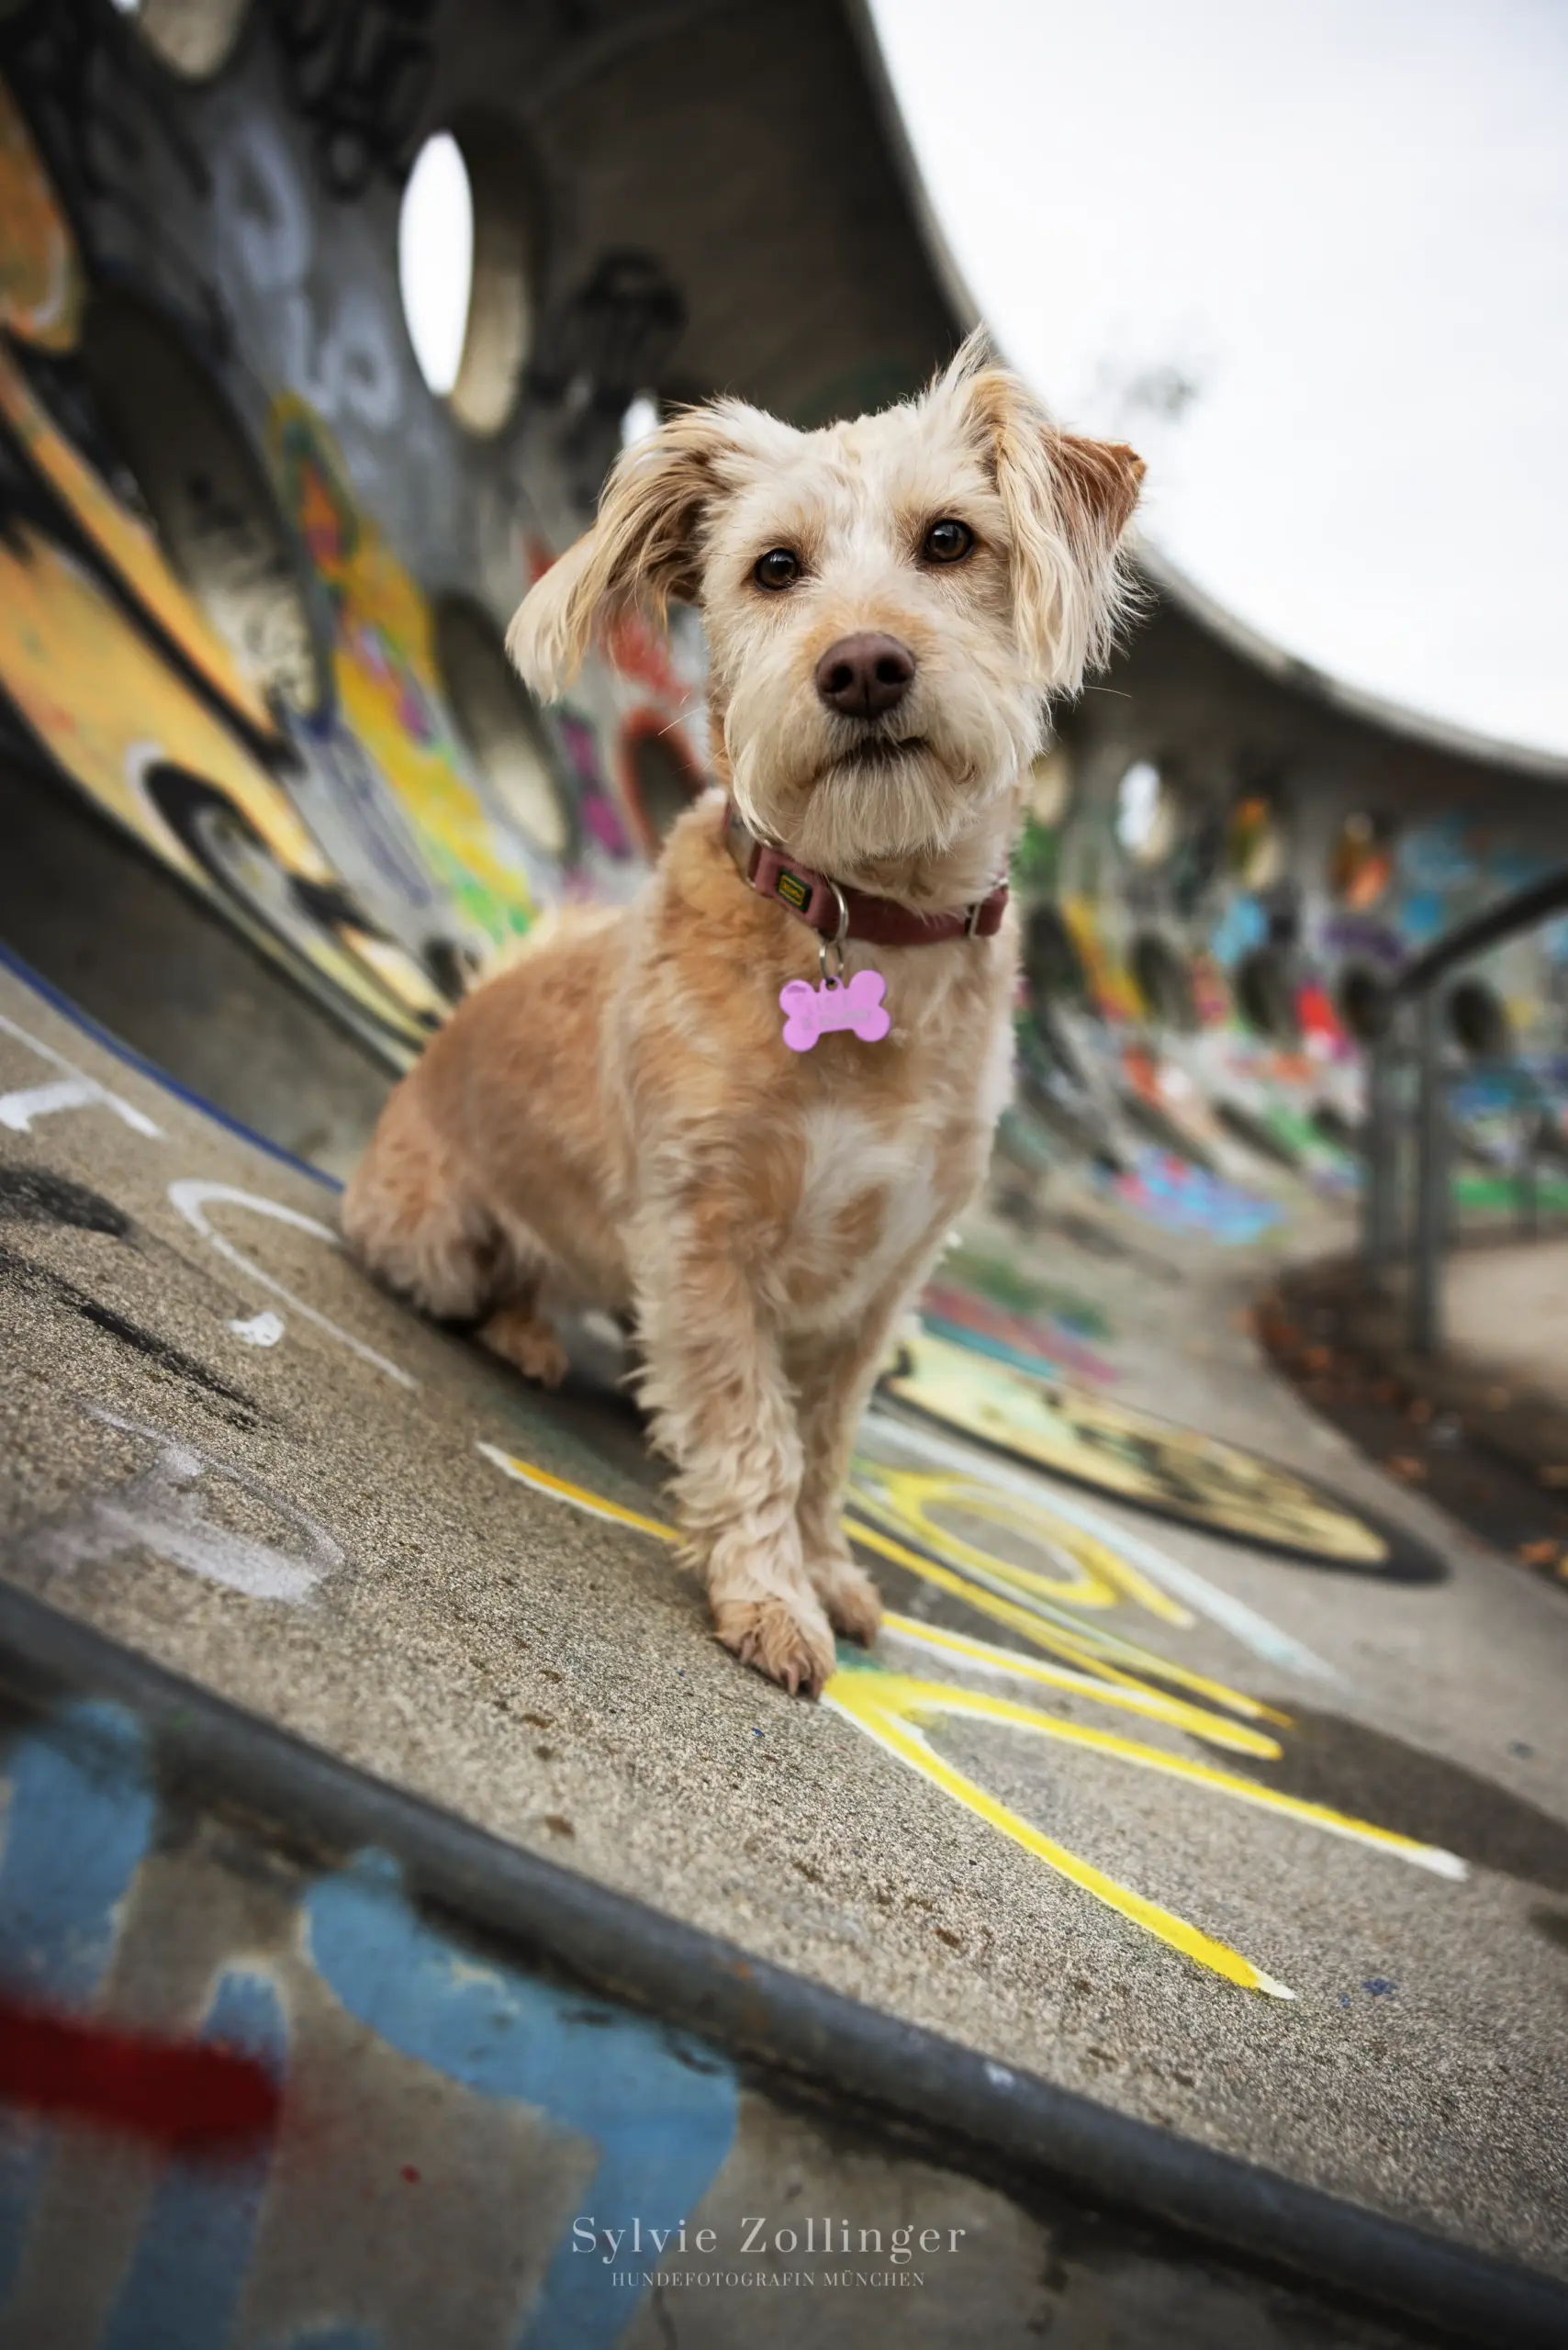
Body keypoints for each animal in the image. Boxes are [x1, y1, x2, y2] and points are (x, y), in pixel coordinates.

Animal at [342, 336, 1142, 1692]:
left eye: (950, 540)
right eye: (774, 567)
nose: (862, 665)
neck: (868, 920)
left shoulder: (885, 1277)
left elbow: (825, 1442)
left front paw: (826, 1571)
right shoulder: (701, 1239)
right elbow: (751, 1433)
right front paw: (771, 1597)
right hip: (435, 1234)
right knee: (484, 1273)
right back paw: (521, 1331)